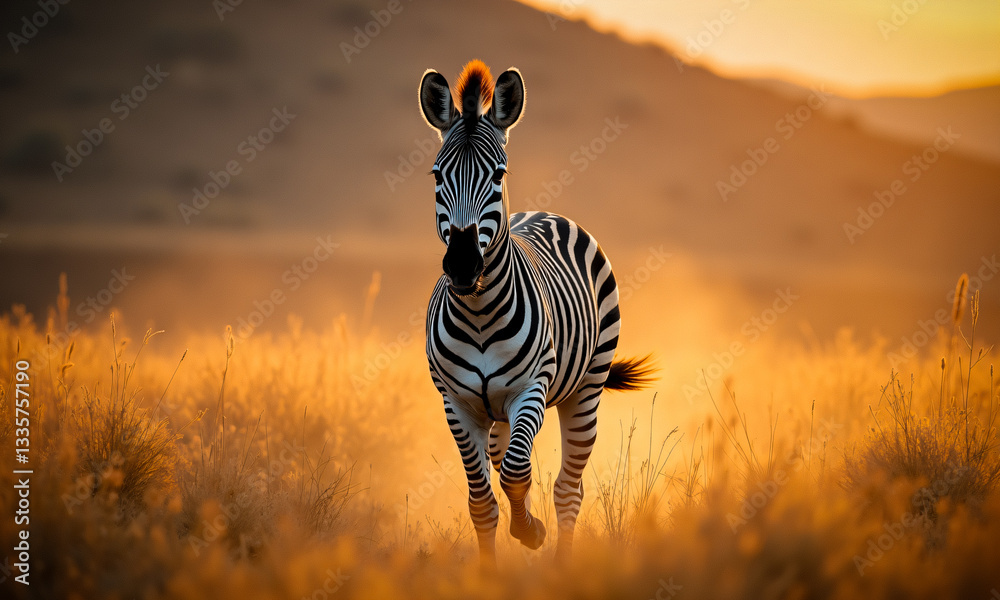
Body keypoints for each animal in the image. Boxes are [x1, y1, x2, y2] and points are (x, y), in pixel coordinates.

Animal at [418, 59, 655, 569]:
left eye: (498, 174)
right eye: (436, 175)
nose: (463, 265)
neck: (479, 313)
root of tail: (544, 212)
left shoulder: (531, 389)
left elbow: (516, 473)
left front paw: (530, 532)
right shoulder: (456, 404)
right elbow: (481, 501)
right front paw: (489, 571)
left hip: (585, 390)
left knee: (568, 490)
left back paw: (562, 564)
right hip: (496, 413)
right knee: (502, 462)